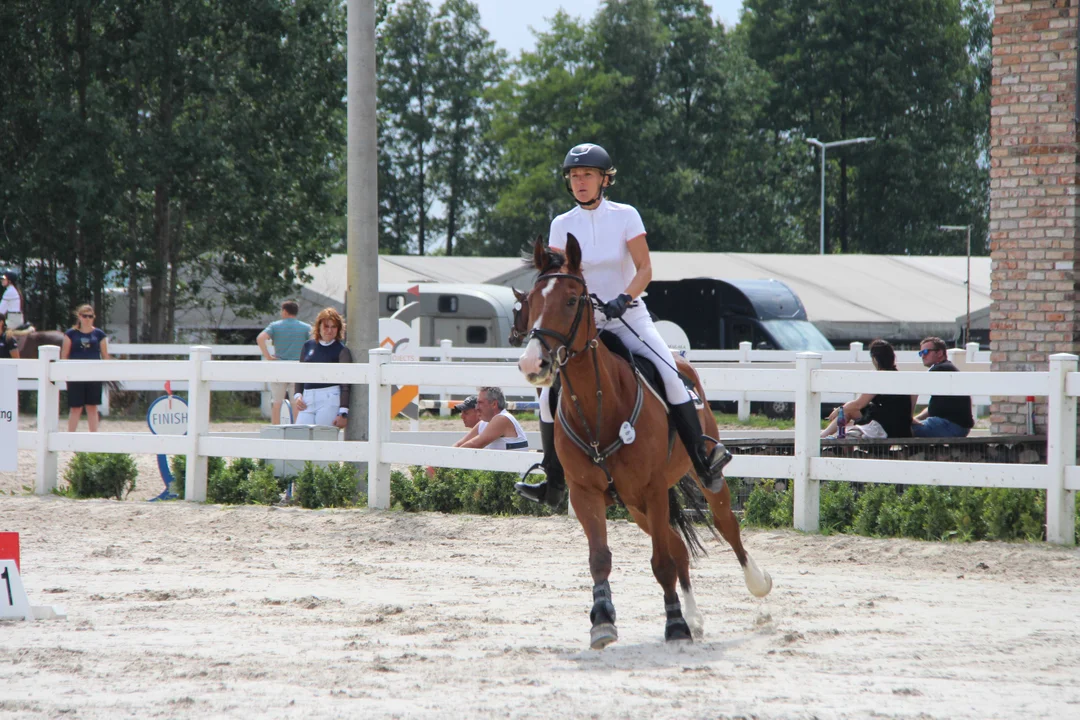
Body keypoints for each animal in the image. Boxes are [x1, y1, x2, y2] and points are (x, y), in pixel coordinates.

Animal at [518, 237, 773, 651]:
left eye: (571, 300)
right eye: (531, 302)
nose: (532, 364)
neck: (599, 406)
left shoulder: (653, 488)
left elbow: (662, 563)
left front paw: (675, 626)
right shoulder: (586, 493)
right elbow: (601, 558)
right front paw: (603, 622)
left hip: (693, 480)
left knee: (725, 526)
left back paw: (756, 583)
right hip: (635, 505)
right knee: (678, 546)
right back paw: (694, 617)